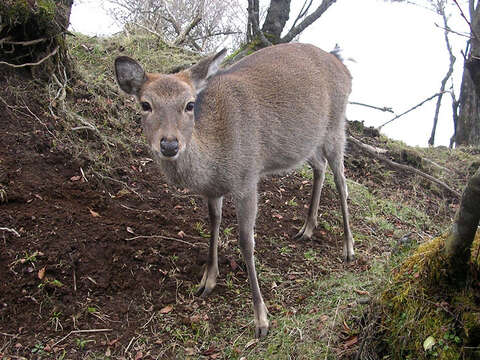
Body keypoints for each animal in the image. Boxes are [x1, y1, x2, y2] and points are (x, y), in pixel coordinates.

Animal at [114, 43, 354, 338]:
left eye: (189, 104)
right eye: (145, 104)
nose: (169, 144)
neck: (214, 164)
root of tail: (345, 69)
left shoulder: (248, 179)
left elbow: (246, 241)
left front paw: (261, 319)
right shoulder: (212, 191)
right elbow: (214, 222)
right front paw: (207, 279)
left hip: (336, 126)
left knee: (342, 180)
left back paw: (348, 247)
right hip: (307, 141)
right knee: (319, 166)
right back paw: (307, 228)